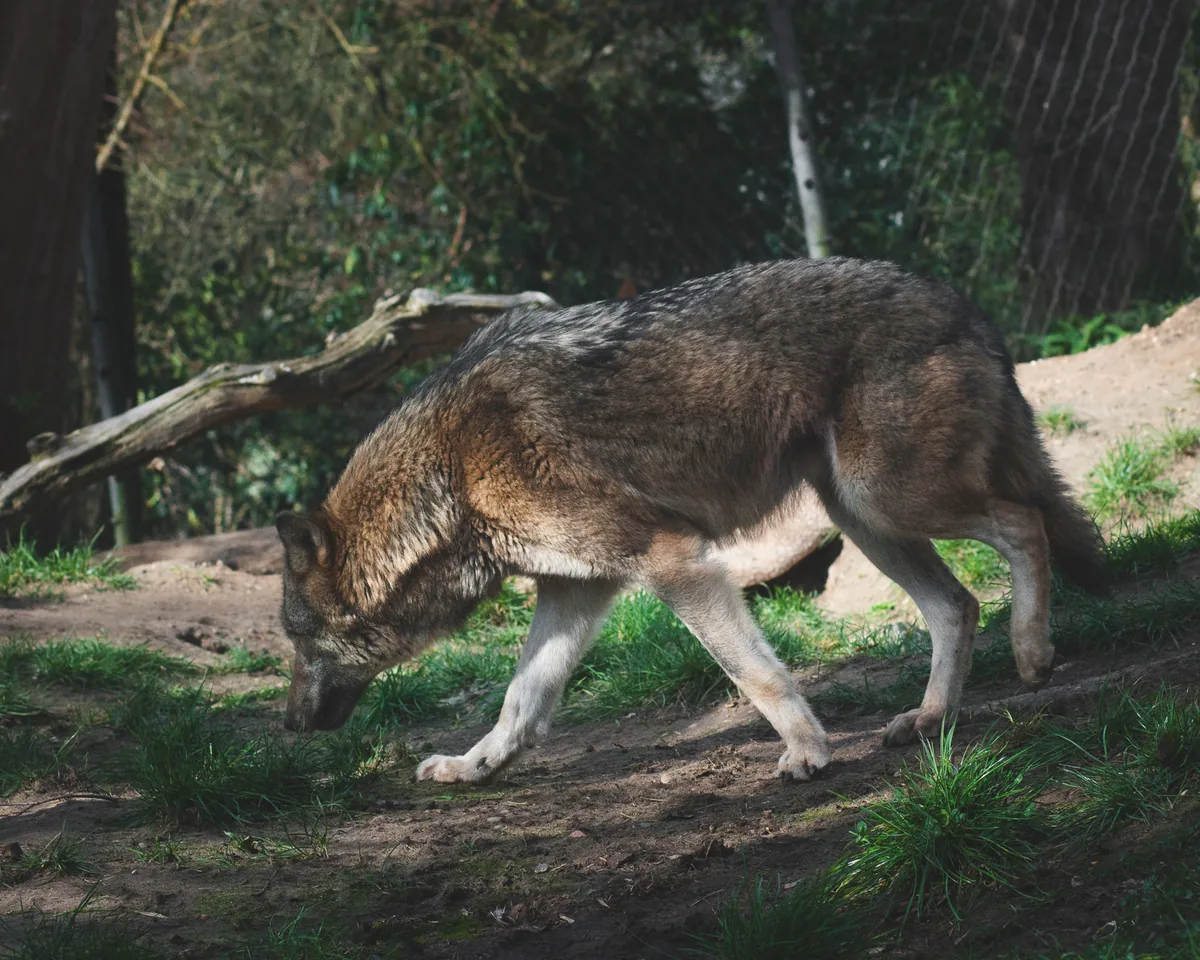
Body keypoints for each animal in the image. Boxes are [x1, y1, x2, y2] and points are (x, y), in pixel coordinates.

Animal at [275, 257, 1106, 783]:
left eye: (297, 641)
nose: (286, 725)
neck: (449, 475)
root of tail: (968, 308)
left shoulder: (673, 560)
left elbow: (756, 674)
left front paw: (808, 753)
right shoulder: (575, 590)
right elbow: (520, 701)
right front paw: (472, 767)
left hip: (888, 499)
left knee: (1025, 524)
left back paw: (1033, 654)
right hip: (864, 517)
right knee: (957, 604)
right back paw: (931, 719)